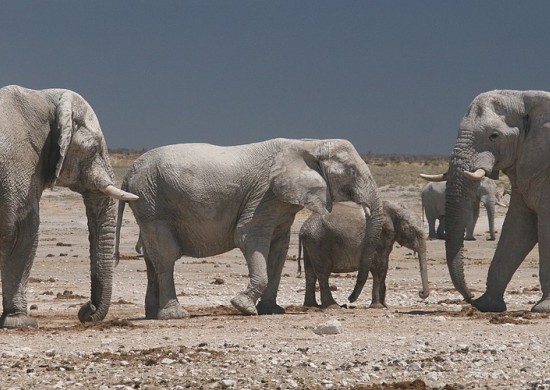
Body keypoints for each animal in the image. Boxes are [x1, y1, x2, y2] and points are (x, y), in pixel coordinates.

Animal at [0, 85, 138, 330]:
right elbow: (20, 234)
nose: (87, 310)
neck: (43, 98)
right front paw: (21, 322)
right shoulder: (20, 167)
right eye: (93, 148)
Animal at [116, 139, 384, 318]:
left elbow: (279, 250)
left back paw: (152, 313)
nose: (348, 302)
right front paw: (242, 306)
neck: (309, 143)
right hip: (152, 202)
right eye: (351, 172)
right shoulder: (264, 196)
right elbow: (248, 237)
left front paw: (272, 310)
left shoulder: (280, 204)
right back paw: (175, 315)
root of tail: (128, 174)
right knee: (165, 255)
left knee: (151, 256)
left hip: (148, 201)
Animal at [298, 201, 432, 308]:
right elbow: (379, 268)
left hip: (311, 244)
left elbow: (382, 268)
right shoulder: (379, 238)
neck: (393, 208)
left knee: (310, 273)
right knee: (323, 273)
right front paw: (377, 306)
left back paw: (311, 305)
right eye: (412, 231)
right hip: (318, 243)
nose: (421, 293)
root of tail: (302, 229)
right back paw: (333, 306)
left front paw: (384, 305)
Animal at [422, 90, 550, 312]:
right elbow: (518, 227)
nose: (470, 298)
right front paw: (487, 305)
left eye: (494, 136)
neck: (525, 97)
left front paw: (544, 308)